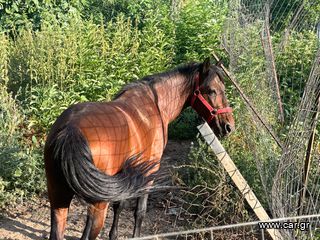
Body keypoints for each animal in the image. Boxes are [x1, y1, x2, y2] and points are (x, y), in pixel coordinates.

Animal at [44, 58, 235, 240]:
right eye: (212, 90)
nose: (228, 126)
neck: (155, 104)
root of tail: (71, 130)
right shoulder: (148, 173)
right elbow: (140, 211)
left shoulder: (124, 178)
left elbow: (119, 206)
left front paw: (114, 235)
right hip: (97, 205)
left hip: (59, 198)